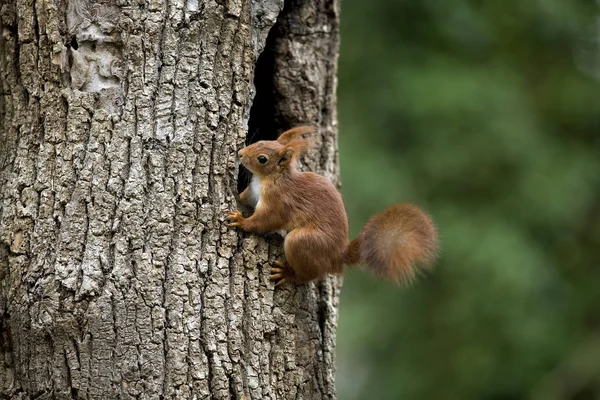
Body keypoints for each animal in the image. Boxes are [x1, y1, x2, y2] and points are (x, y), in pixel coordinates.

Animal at [227, 126, 438, 286]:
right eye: (261, 140)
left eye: (262, 159)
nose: (240, 153)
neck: (268, 179)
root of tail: (338, 256)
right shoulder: (253, 193)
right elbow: (246, 199)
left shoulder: (280, 202)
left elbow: (265, 221)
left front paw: (241, 221)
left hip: (303, 242)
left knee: (307, 274)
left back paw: (288, 274)